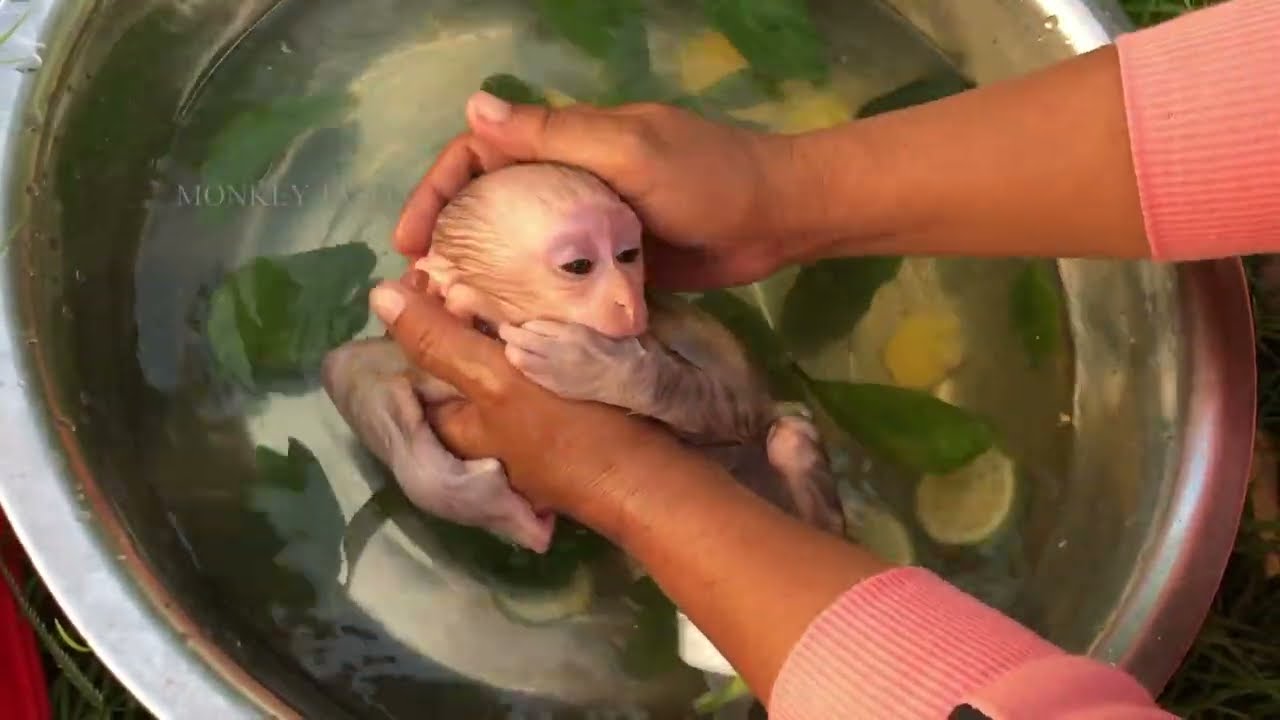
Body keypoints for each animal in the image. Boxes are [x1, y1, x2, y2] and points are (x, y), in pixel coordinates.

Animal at [320, 163, 845, 557]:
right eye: (579, 266)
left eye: (629, 254)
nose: (628, 301)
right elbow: (347, 366)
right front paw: (475, 498)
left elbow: (736, 406)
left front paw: (599, 368)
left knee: (787, 438)